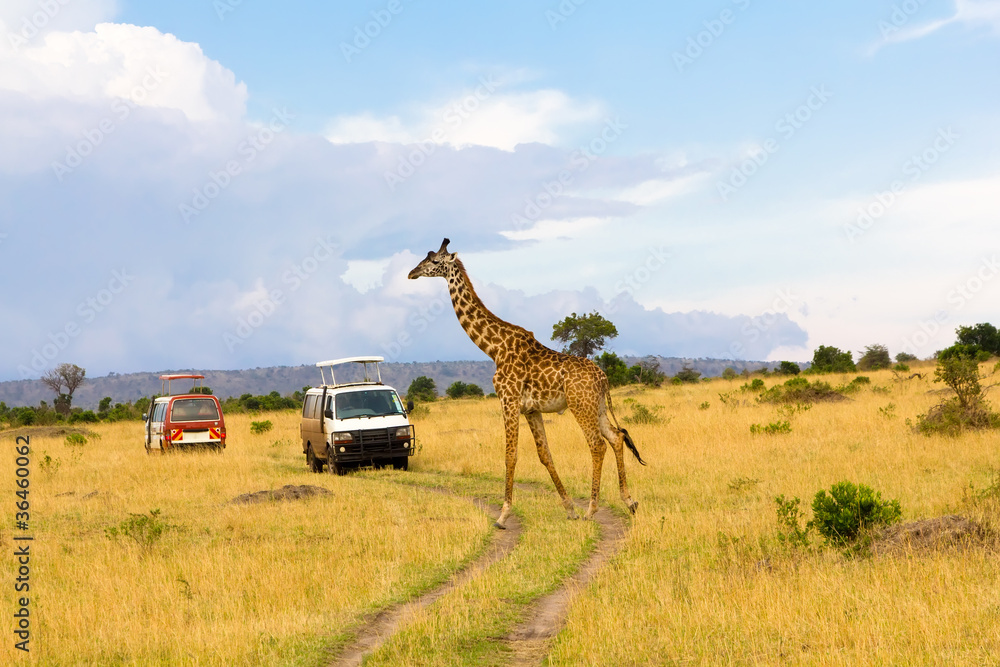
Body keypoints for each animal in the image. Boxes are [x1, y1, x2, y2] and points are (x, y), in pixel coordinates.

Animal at [408, 238, 646, 529]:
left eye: (433, 261)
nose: (412, 273)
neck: (494, 348)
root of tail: (604, 377)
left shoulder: (508, 400)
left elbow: (510, 454)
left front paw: (503, 514)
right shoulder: (531, 409)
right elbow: (545, 455)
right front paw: (569, 508)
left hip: (580, 405)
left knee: (597, 444)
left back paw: (592, 509)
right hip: (596, 406)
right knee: (616, 437)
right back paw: (629, 501)